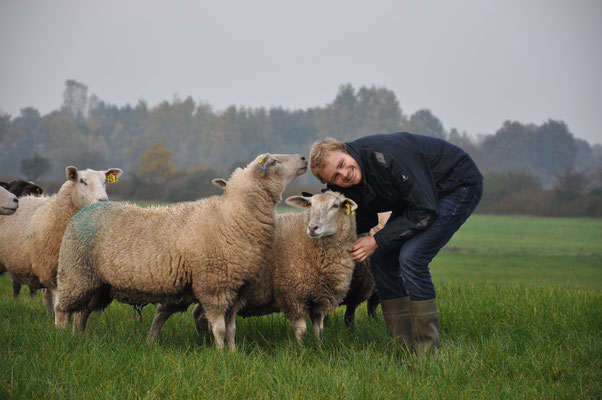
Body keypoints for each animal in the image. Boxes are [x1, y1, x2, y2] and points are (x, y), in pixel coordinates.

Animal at [54, 153, 308, 350]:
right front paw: (221, 355)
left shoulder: (238, 289)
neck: (234, 215)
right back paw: (63, 339)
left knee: (82, 314)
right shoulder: (214, 285)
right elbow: (219, 328)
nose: (304, 159)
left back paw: (79, 339)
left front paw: (234, 352)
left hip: (97, 284)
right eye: (274, 161)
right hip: (75, 274)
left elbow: (232, 329)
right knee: (61, 310)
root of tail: (85, 210)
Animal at [148, 190, 358, 344]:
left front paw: (318, 347)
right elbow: (302, 329)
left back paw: (204, 341)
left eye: (336, 205)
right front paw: (302, 349)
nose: (313, 228)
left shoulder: (321, 299)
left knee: (198, 314)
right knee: (161, 312)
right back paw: (152, 342)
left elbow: (318, 329)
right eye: (310, 205)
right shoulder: (293, 294)